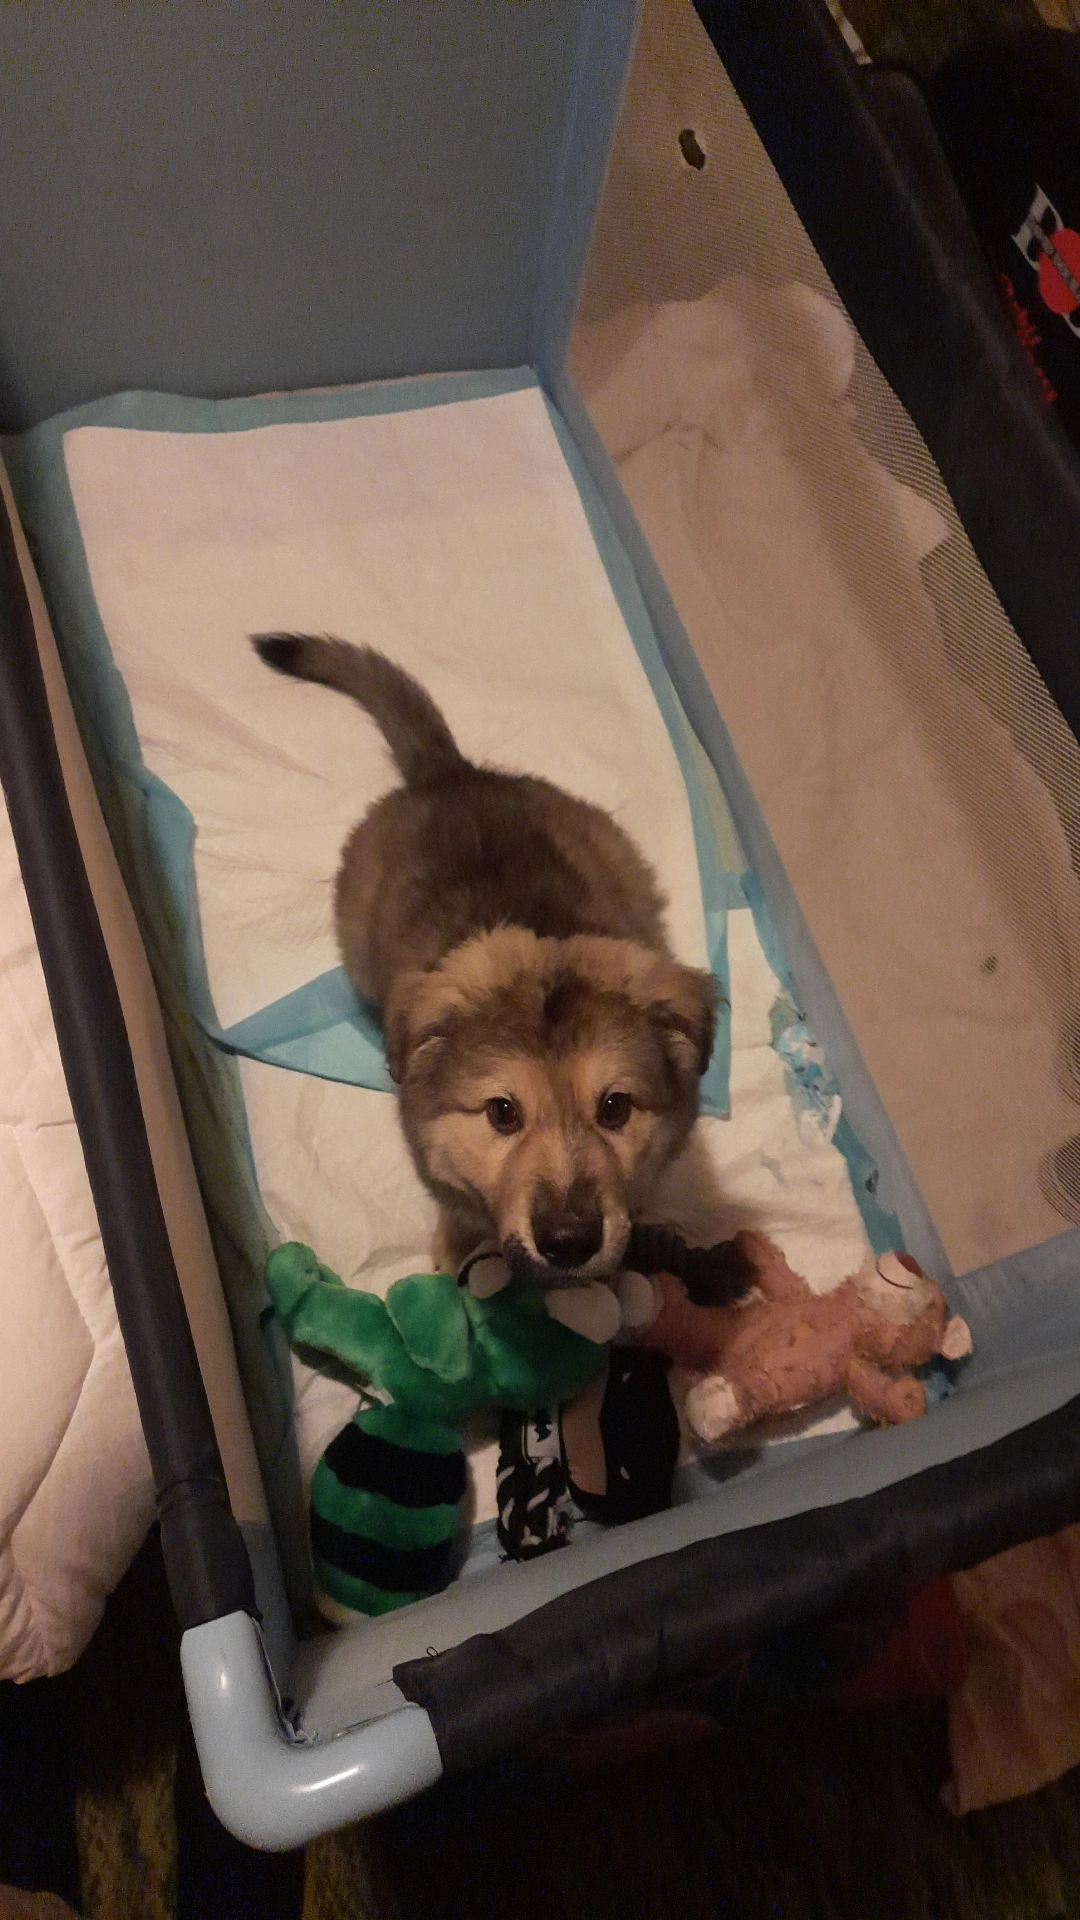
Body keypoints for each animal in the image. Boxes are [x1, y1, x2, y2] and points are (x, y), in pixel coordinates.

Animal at [254, 634, 717, 1284]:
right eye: (502, 1113)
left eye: (615, 1107)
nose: (569, 1242)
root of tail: (451, 772)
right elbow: (459, 1209)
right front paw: (455, 1248)